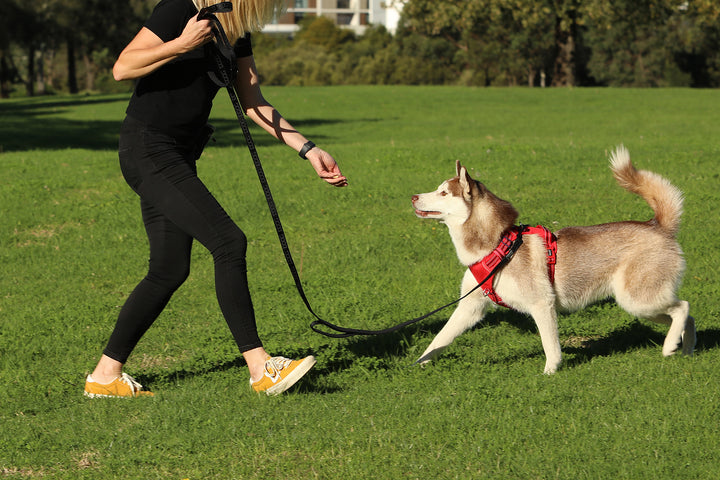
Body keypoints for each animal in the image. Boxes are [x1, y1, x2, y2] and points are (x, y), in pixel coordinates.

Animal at [414, 147, 696, 376]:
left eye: (443, 192)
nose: (413, 197)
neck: (498, 245)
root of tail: (657, 225)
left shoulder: (542, 304)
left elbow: (550, 345)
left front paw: (551, 371)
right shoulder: (470, 307)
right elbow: (440, 338)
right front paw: (419, 363)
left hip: (638, 300)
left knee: (683, 307)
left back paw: (670, 346)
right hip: (642, 306)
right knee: (688, 317)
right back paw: (686, 350)